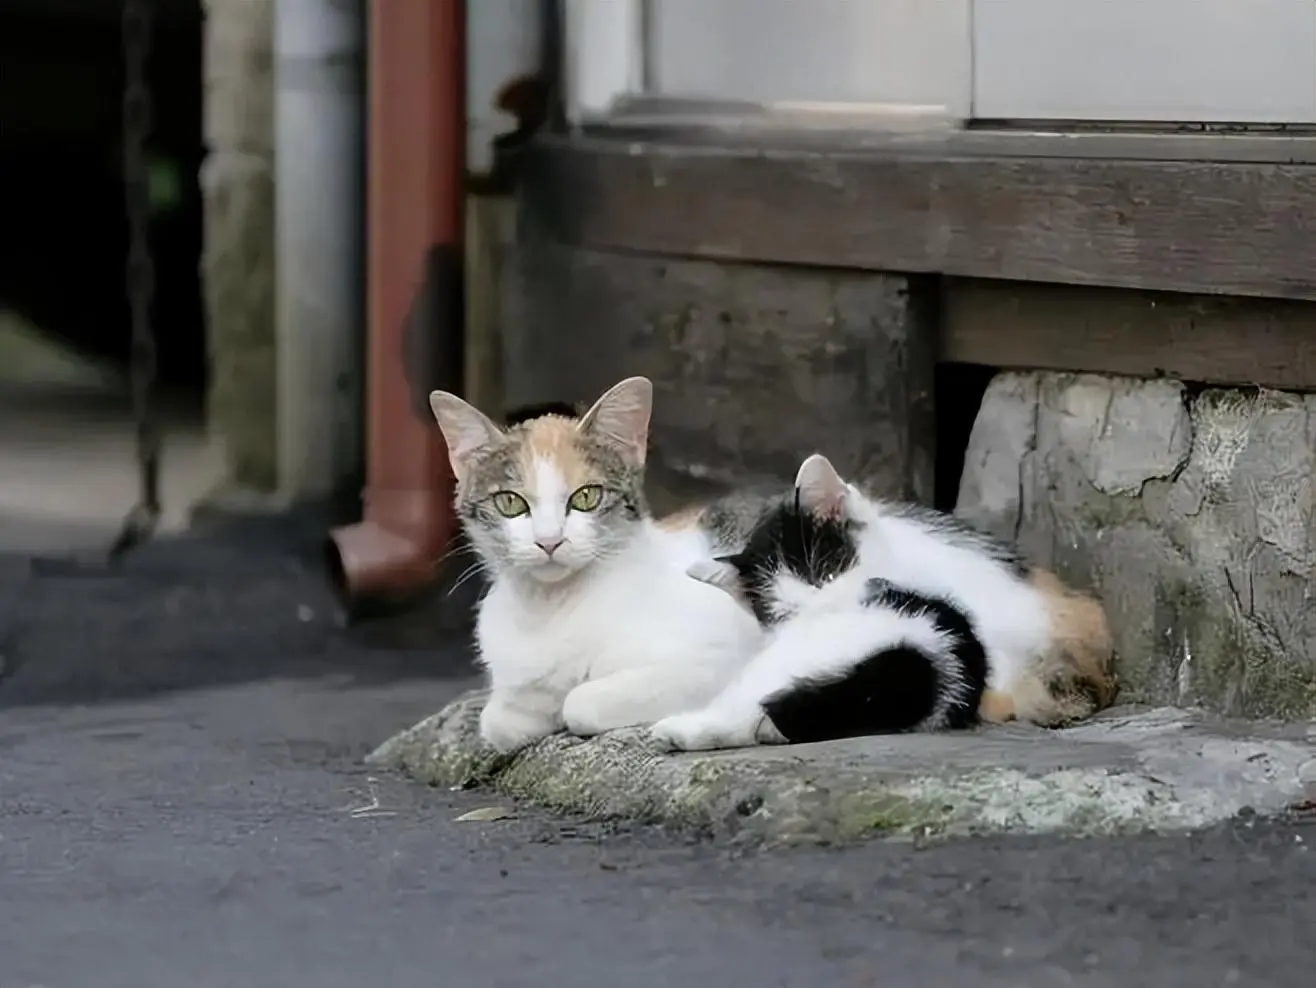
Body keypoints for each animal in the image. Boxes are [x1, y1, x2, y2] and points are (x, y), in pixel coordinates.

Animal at [426, 373, 768, 752]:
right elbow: (498, 721)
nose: (549, 540)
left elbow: (579, 702)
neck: (551, 609)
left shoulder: (716, 655)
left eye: (586, 497)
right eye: (510, 503)